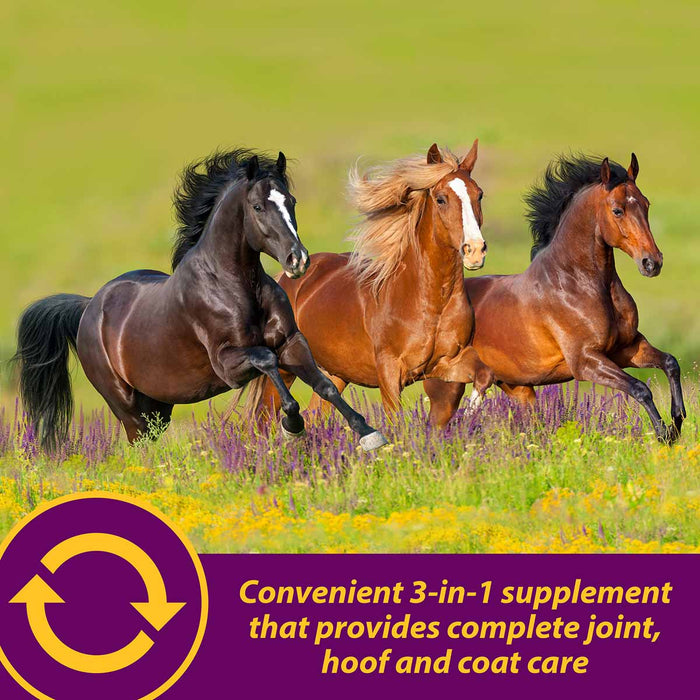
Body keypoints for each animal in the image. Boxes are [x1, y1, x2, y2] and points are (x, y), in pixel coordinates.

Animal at [14, 149, 388, 452]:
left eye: (291, 201)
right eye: (257, 206)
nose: (298, 260)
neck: (236, 287)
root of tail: (89, 307)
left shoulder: (292, 342)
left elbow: (325, 386)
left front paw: (369, 434)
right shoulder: (229, 365)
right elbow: (267, 360)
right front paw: (292, 426)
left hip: (158, 406)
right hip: (127, 407)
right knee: (138, 446)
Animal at [246, 142, 495, 425]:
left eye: (479, 195)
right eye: (441, 199)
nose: (475, 250)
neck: (429, 301)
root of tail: (285, 279)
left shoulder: (447, 362)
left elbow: (484, 375)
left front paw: (469, 417)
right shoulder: (389, 372)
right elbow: (396, 421)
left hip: (335, 373)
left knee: (315, 414)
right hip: (286, 366)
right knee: (264, 418)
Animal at [423, 154, 685, 443]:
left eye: (646, 204)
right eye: (618, 210)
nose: (652, 263)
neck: (576, 283)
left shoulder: (627, 348)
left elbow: (670, 363)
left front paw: (677, 420)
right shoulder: (586, 362)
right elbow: (640, 388)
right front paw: (664, 434)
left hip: (518, 388)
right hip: (447, 388)